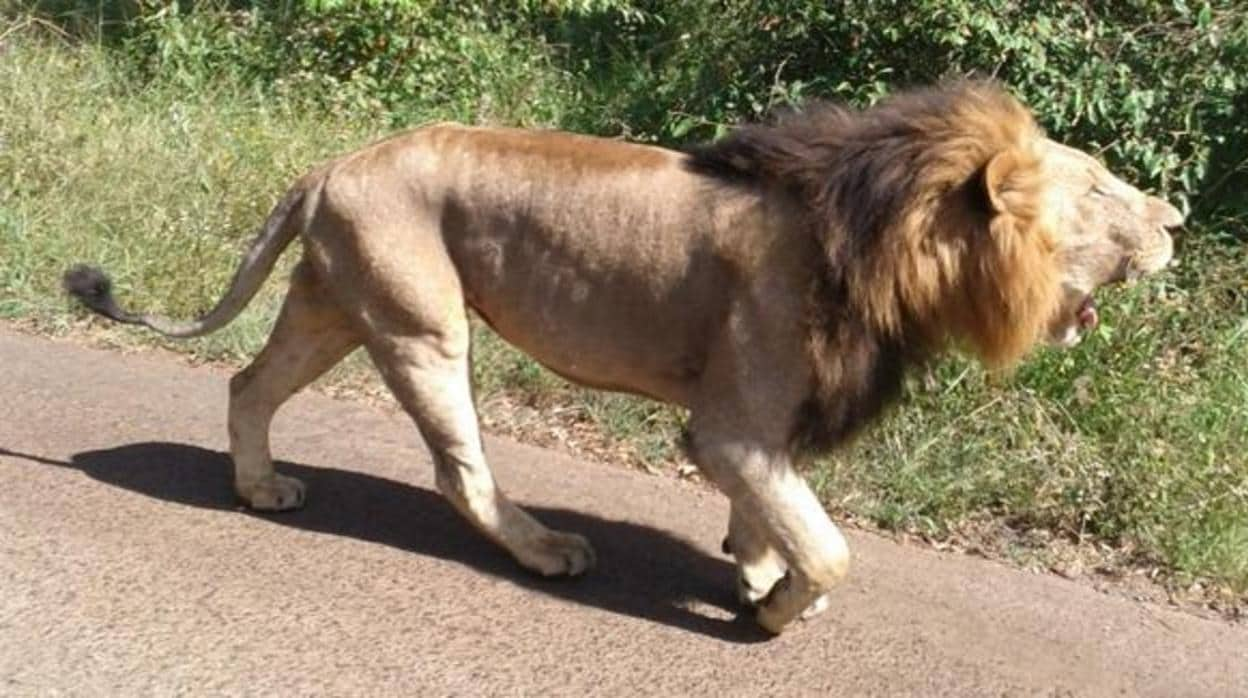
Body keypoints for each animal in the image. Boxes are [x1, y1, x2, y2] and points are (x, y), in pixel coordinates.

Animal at [65, 80, 1178, 634]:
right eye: (1102, 190)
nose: (1175, 219)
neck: (889, 241)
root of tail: (331, 162)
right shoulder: (731, 425)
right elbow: (829, 544)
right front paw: (778, 610)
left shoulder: (762, 422)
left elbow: (775, 512)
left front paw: (753, 567)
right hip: (421, 323)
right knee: (460, 469)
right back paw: (546, 550)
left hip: (335, 303)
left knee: (248, 380)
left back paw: (258, 487)